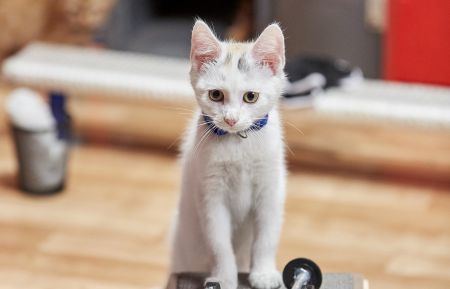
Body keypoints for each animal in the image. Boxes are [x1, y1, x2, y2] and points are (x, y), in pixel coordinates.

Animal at [171, 20, 286, 288]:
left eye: (251, 96)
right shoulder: (210, 195)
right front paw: (224, 278)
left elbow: (267, 237)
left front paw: (264, 273)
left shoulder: (270, 190)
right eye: (216, 95)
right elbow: (219, 244)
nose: (231, 119)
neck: (237, 142)